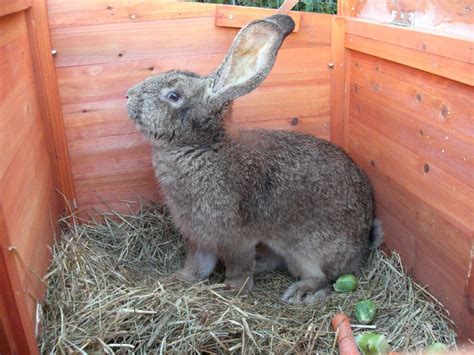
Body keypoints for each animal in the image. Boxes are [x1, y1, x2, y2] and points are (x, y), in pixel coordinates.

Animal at [125, 13, 382, 304]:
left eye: (173, 96)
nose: (128, 95)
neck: (203, 145)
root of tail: (362, 246)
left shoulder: (235, 237)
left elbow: (238, 265)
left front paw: (234, 290)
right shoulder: (198, 236)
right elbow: (198, 264)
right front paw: (181, 278)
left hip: (306, 251)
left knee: (325, 277)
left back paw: (300, 292)